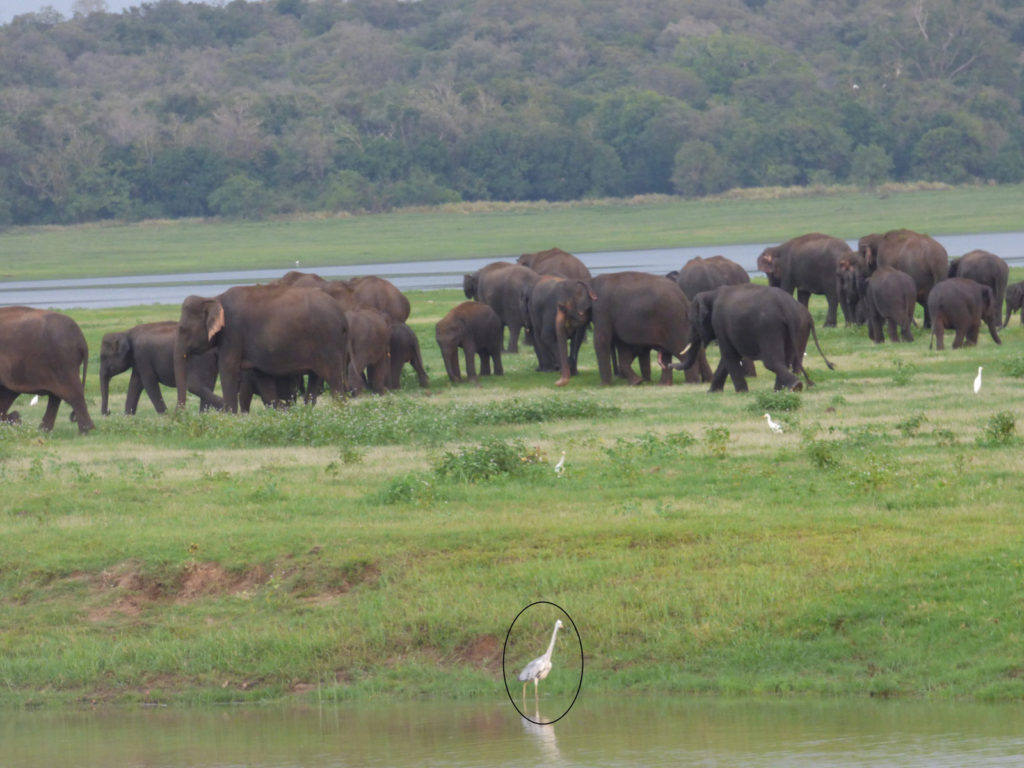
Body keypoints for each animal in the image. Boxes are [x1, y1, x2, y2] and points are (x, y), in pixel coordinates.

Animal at [176, 284, 352, 415]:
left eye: (183, 329)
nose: (181, 414)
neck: (214, 298)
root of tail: (342, 317)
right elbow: (263, 377)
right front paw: (278, 412)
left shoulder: (233, 334)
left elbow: (228, 369)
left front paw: (230, 417)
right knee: (316, 379)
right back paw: (308, 412)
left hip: (329, 341)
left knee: (334, 381)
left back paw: (340, 412)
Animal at [679, 282, 831, 393]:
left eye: (691, 321)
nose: (670, 365)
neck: (711, 293)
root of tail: (785, 307)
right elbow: (727, 358)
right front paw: (712, 393)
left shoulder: (719, 323)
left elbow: (729, 356)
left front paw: (741, 392)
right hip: (797, 325)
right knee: (786, 359)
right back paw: (781, 389)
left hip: (768, 327)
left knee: (771, 361)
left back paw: (795, 386)